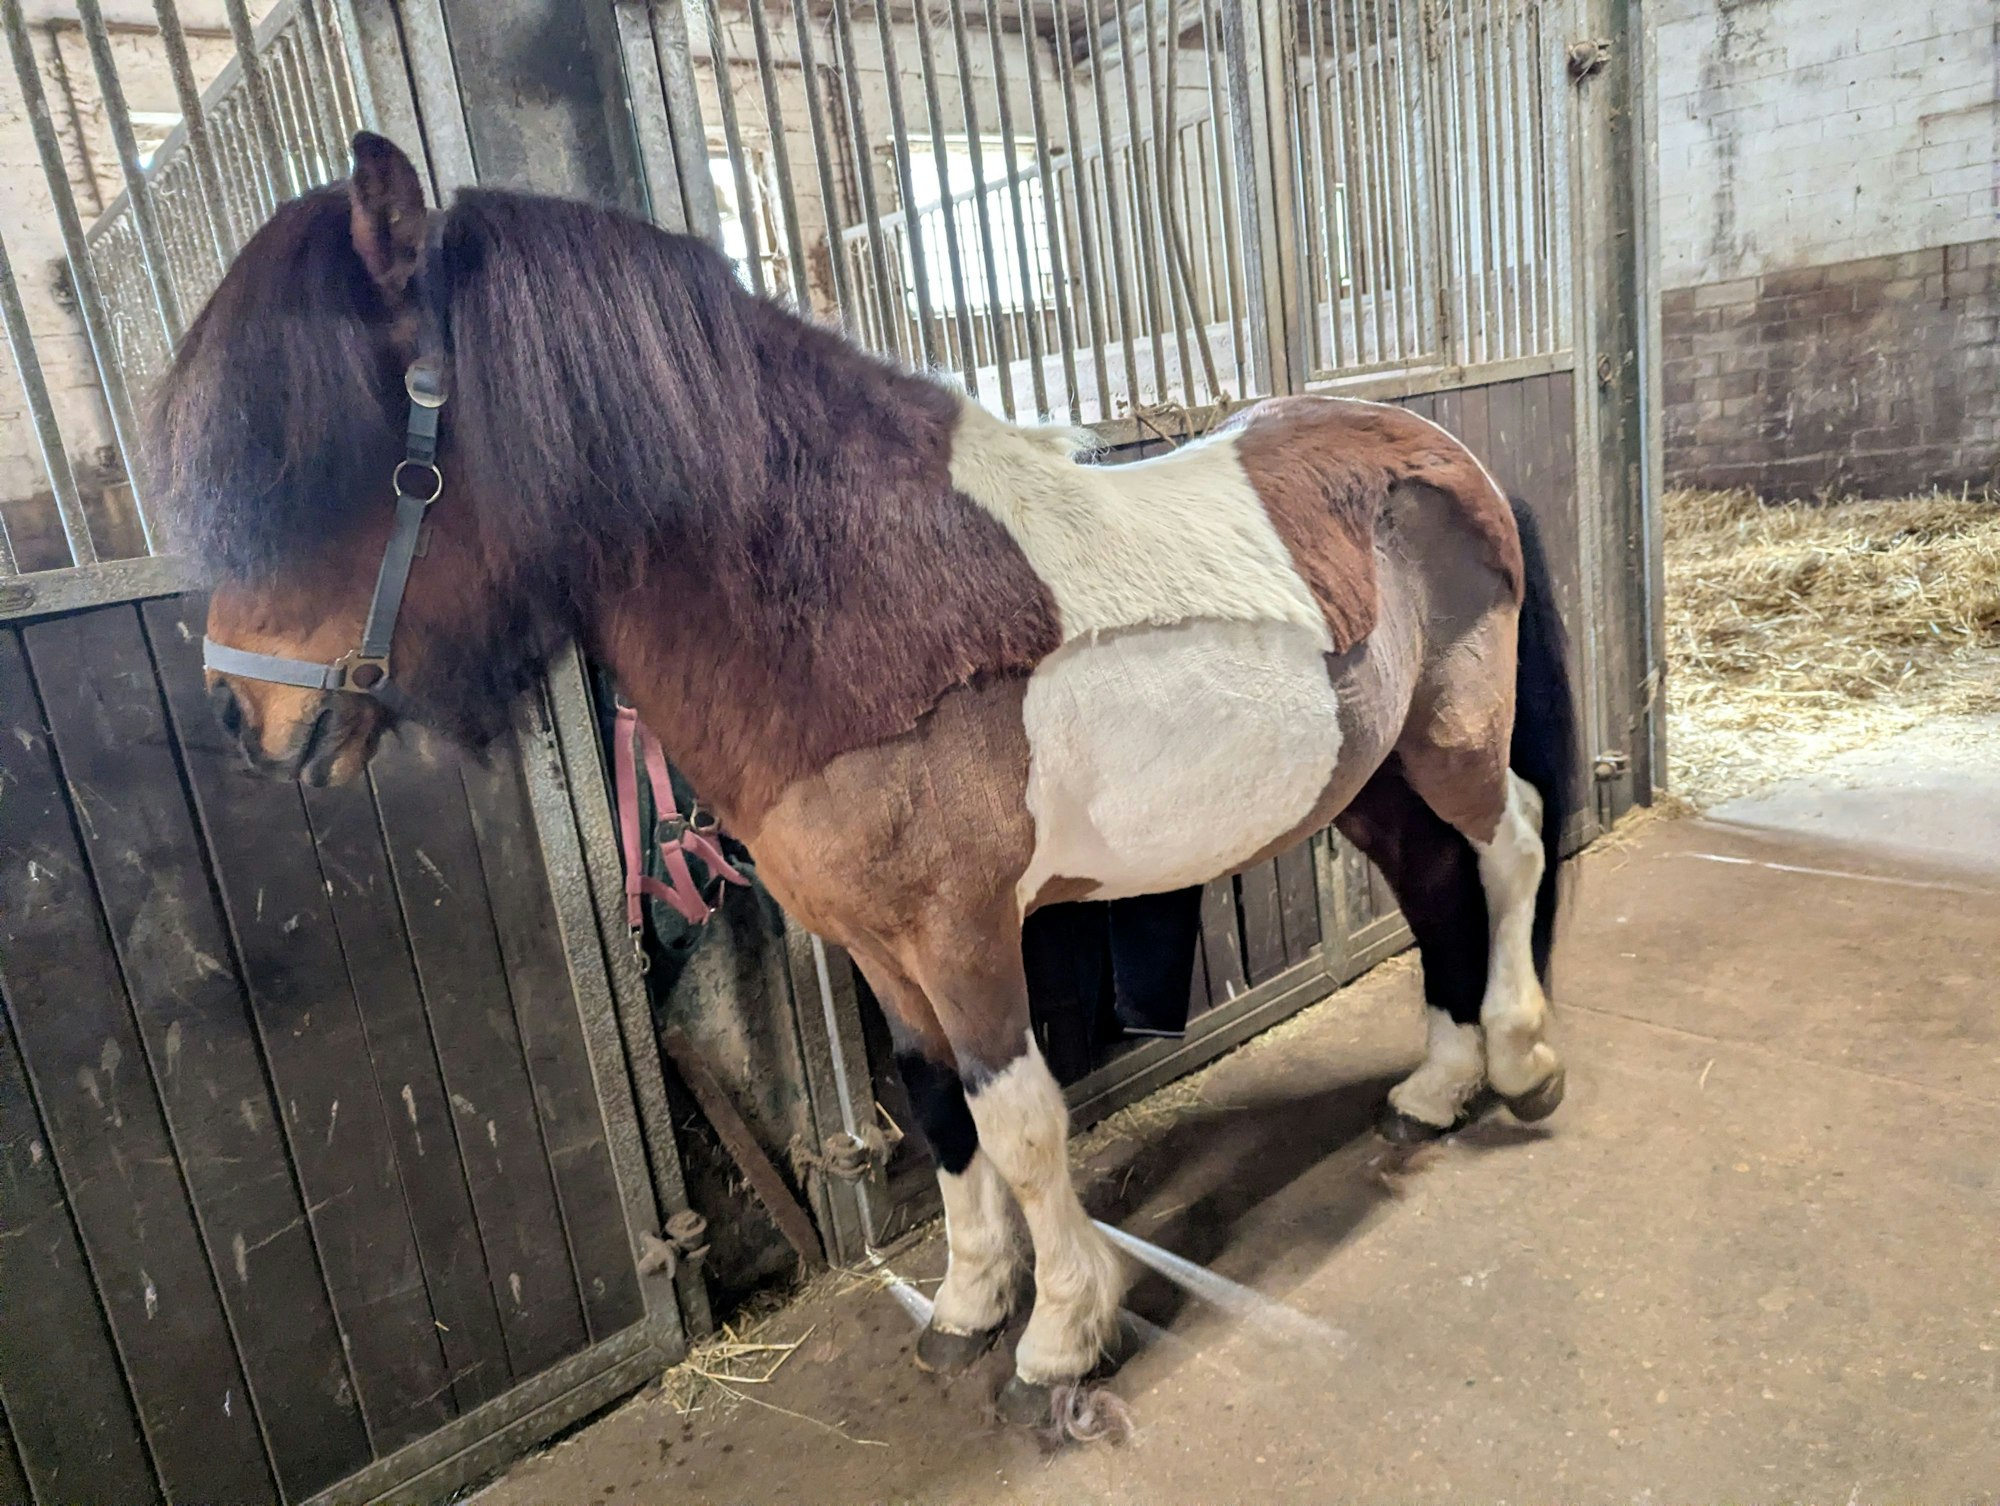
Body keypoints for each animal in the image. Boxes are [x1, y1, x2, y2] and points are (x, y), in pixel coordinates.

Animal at [152, 133, 1578, 1422]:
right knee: (1432, 882)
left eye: (320, 457)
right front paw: (966, 1304)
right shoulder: (877, 946)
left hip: (1450, 735)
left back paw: (1518, 1066)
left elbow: (1020, 1120)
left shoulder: (964, 935)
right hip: (1366, 774)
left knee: (1508, 842)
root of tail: (1429, 448)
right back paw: (1434, 1090)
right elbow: (934, 1106)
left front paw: (1061, 1335)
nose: (240, 714)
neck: (846, 599)